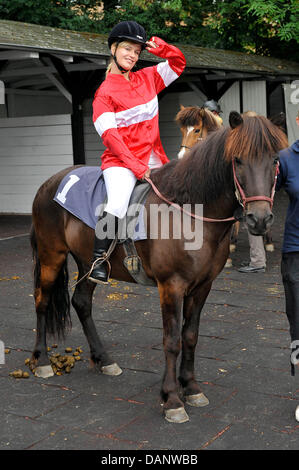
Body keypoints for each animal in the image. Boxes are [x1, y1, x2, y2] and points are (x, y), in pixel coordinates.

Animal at [29, 112, 288, 424]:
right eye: (237, 159)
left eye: (275, 160)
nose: (259, 219)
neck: (189, 211)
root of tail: (50, 182)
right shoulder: (171, 286)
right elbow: (172, 340)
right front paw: (172, 399)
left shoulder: (202, 287)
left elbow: (190, 336)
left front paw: (192, 388)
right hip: (51, 256)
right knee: (42, 302)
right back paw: (42, 361)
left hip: (87, 263)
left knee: (81, 302)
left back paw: (104, 359)